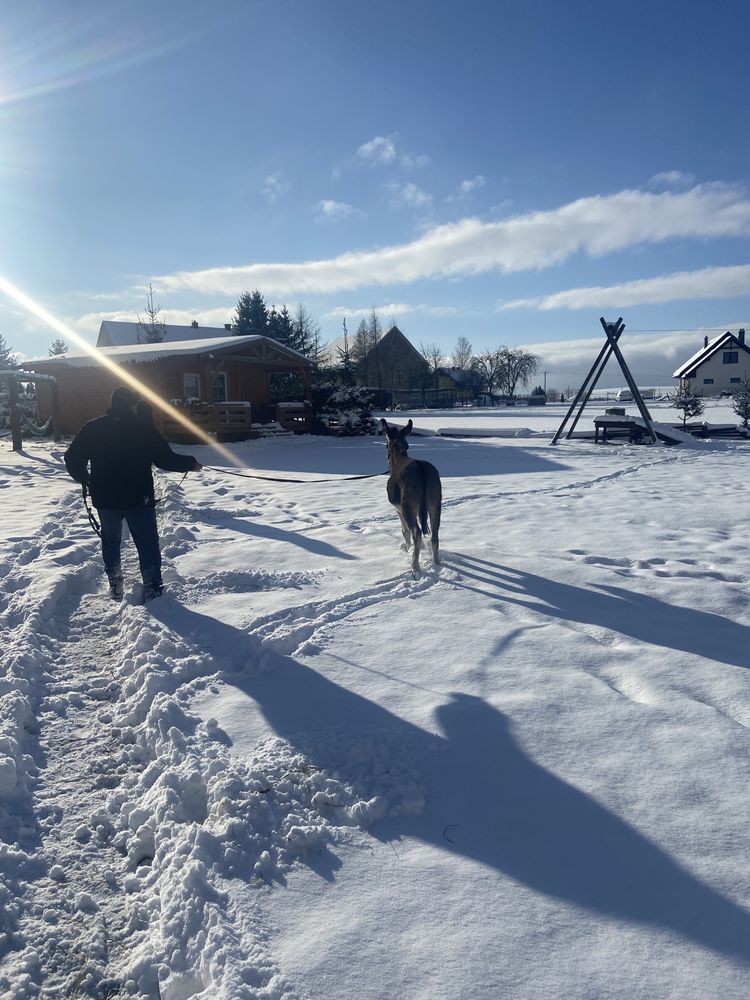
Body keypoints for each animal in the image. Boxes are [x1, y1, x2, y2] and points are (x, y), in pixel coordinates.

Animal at [382, 418, 440, 580]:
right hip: (435, 502)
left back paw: (415, 567)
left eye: (386, 445)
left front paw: (406, 549)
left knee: (417, 532)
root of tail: (422, 470)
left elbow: (404, 531)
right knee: (435, 534)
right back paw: (437, 563)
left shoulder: (398, 508)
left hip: (409, 504)